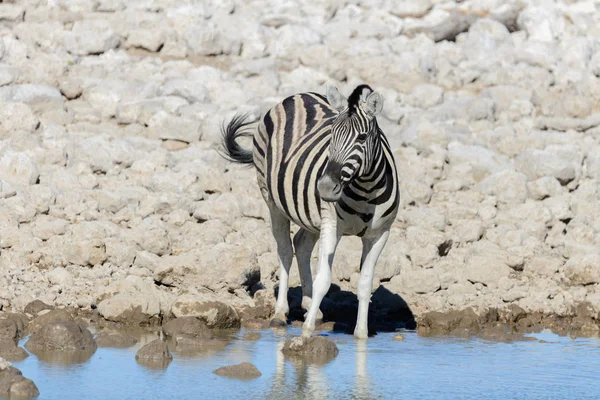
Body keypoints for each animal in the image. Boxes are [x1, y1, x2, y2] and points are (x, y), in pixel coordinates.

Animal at [220, 83, 398, 338]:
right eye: (331, 134)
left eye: (362, 137)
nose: (324, 187)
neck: (366, 190)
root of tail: (298, 95)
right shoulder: (332, 225)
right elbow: (323, 279)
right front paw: (306, 331)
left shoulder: (379, 234)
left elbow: (365, 284)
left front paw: (361, 335)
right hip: (272, 201)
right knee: (285, 250)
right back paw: (280, 313)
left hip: (311, 216)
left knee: (301, 244)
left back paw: (308, 303)